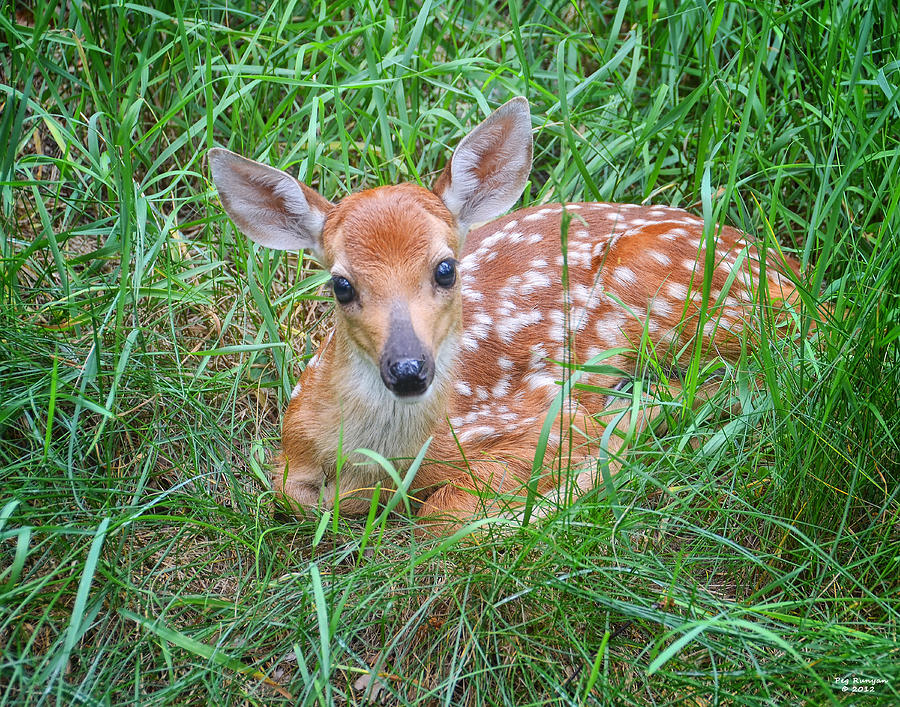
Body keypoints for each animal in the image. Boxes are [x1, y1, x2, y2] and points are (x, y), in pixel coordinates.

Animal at [209, 97, 800, 532]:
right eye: (341, 284)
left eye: (446, 269)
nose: (409, 369)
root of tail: (791, 275)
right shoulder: (292, 445)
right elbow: (289, 495)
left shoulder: (543, 418)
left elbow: (442, 518)